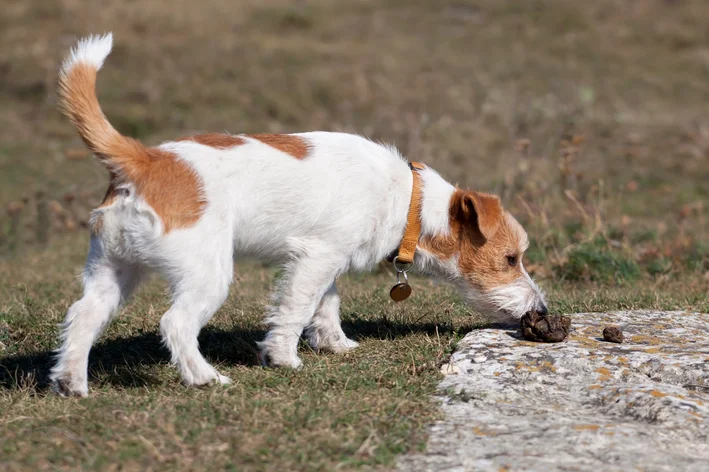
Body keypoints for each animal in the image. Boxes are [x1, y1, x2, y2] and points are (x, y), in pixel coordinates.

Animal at [49, 32, 548, 394]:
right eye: (510, 259)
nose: (542, 310)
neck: (409, 201)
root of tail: (143, 159)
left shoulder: (322, 260)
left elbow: (326, 304)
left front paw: (335, 344)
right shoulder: (317, 258)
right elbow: (295, 309)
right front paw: (284, 358)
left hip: (114, 268)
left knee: (82, 316)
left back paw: (72, 383)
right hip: (207, 273)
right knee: (175, 324)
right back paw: (204, 377)